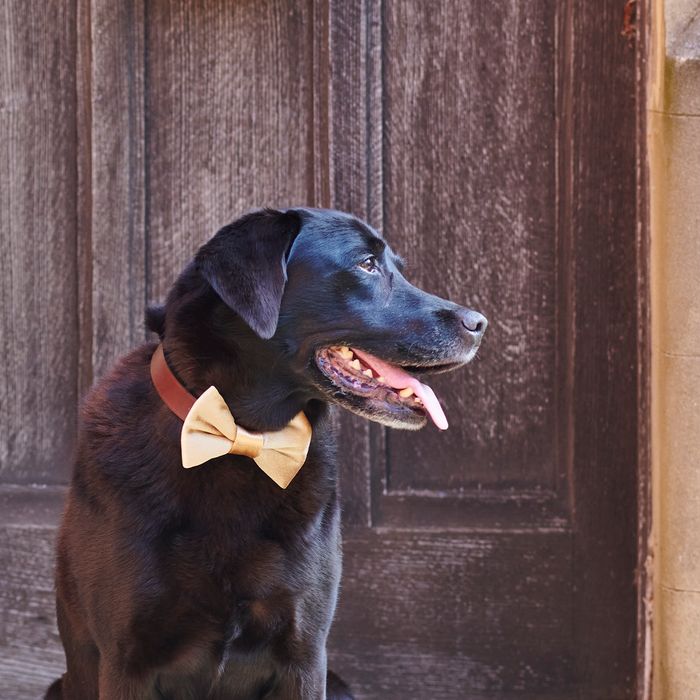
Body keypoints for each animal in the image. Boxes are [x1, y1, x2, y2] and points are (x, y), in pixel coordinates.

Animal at [46, 209, 484, 700]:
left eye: (398, 267)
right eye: (367, 264)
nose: (480, 323)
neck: (243, 437)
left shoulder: (306, 654)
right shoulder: (126, 660)